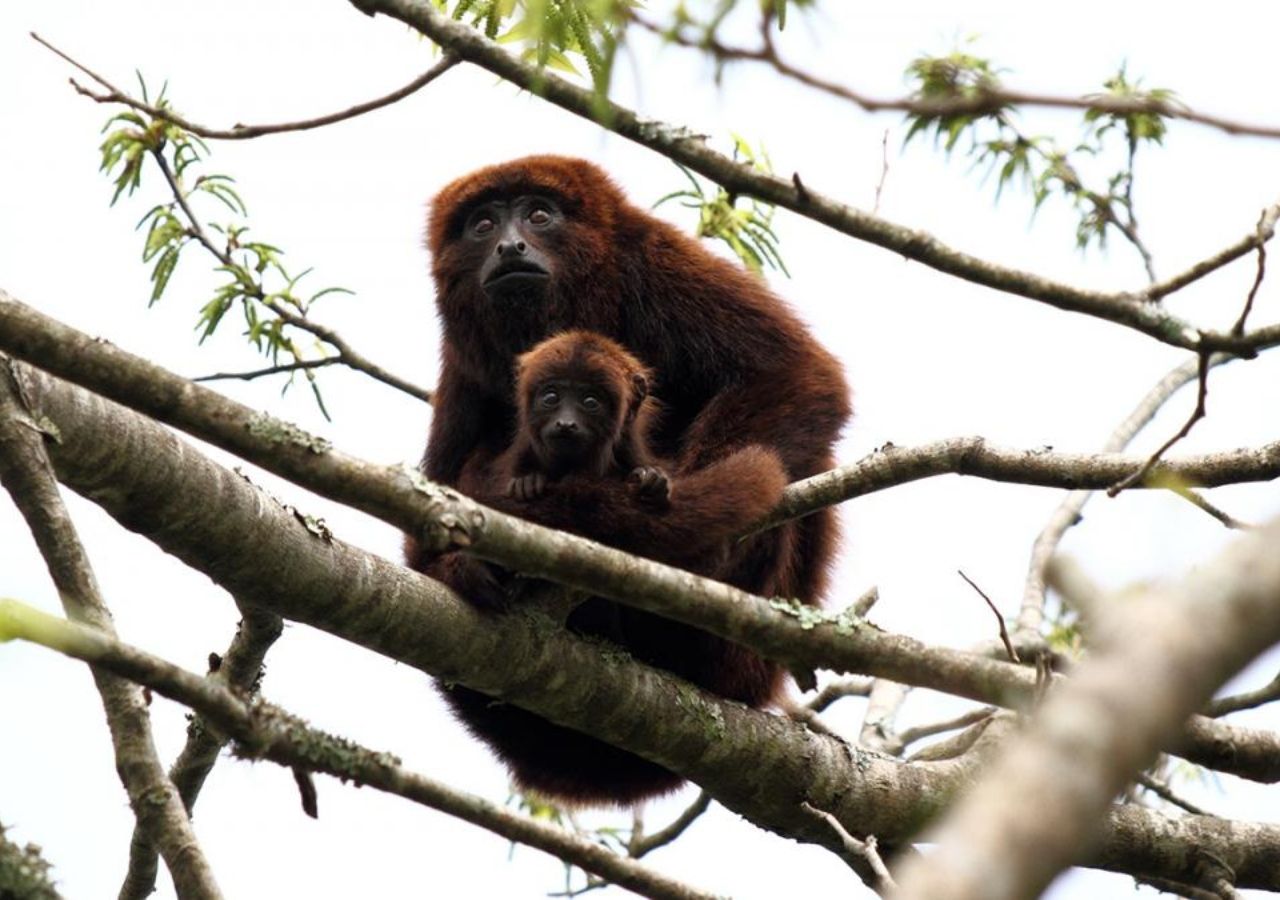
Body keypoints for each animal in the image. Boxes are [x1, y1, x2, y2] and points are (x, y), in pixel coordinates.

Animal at [407, 158, 849, 803]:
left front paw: (692, 538)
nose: (510, 245)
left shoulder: (654, 263)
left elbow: (792, 371)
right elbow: (426, 534)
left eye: (539, 214)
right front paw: (464, 565)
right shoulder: (462, 362)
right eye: (483, 225)